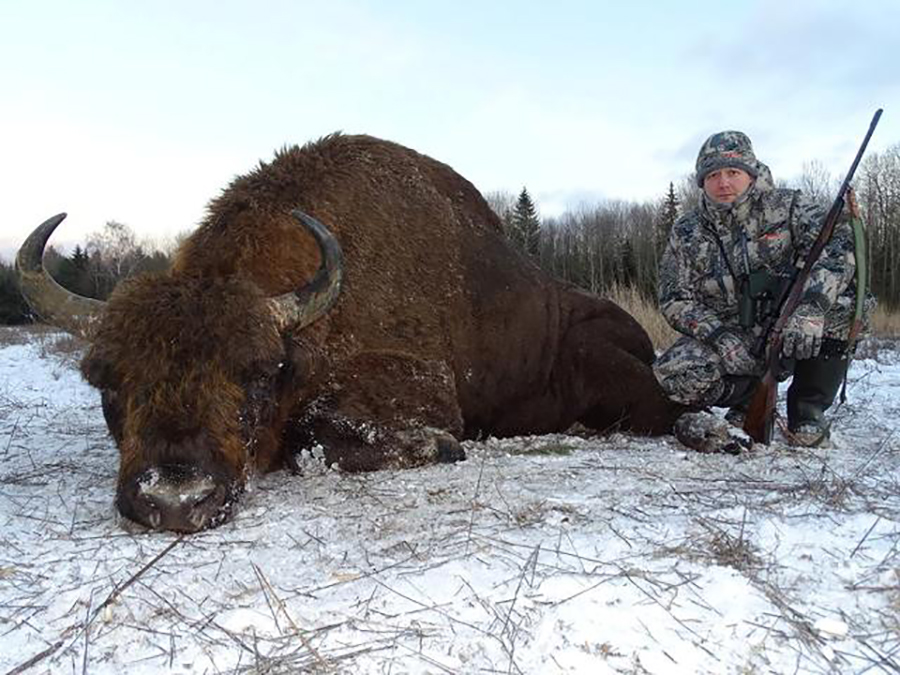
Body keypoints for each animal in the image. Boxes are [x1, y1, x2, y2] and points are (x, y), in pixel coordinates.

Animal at [15, 133, 684, 532]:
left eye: (256, 375)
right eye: (106, 381)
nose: (174, 500)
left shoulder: (421, 387)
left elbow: (319, 435)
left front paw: (442, 446)